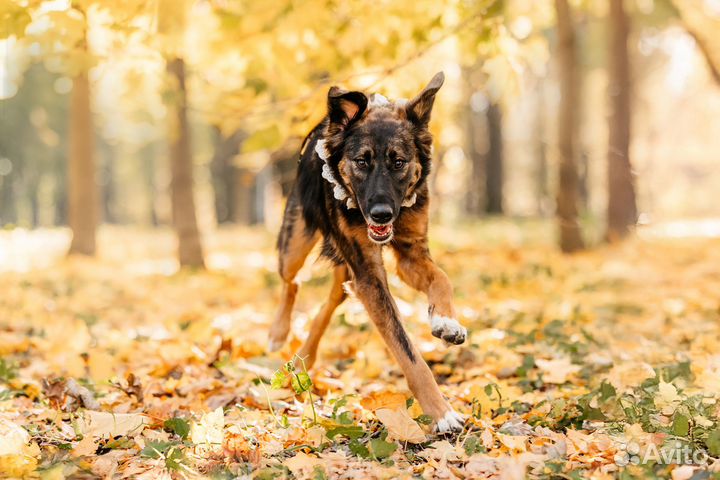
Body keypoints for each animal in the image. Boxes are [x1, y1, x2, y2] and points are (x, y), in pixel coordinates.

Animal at [270, 72, 466, 436]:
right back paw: (278, 334)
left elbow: (442, 278)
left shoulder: (408, 255)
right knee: (292, 282)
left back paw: (304, 358)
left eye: (398, 162)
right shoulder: (369, 274)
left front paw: (447, 321)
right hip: (295, 245)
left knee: (331, 299)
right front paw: (442, 413)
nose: (380, 214)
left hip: (347, 272)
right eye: (362, 161)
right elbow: (407, 352)